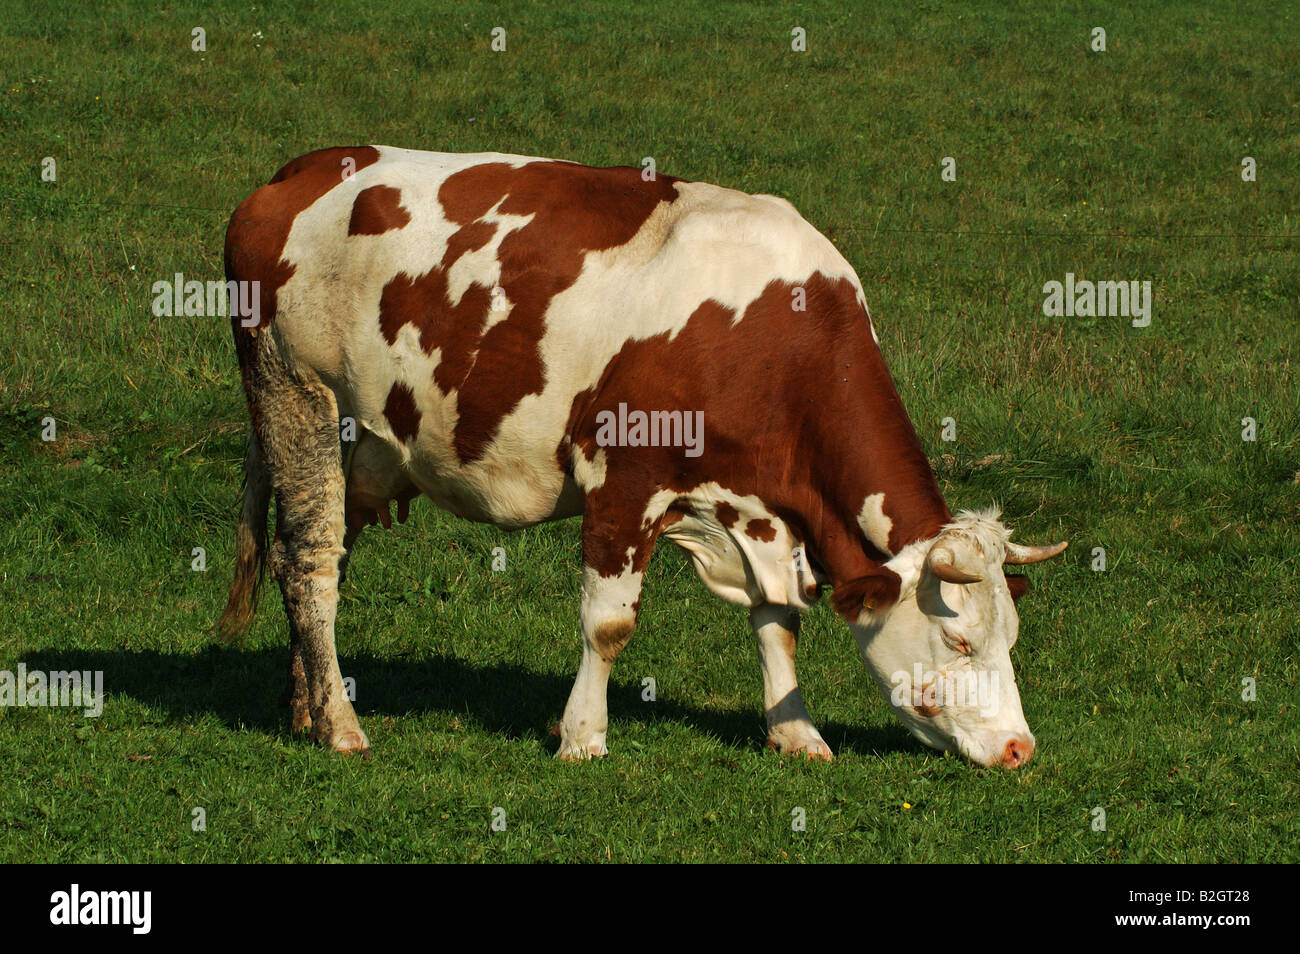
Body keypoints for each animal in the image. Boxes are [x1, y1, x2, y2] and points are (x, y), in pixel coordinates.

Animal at [215, 147, 1066, 769]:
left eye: (1013, 638)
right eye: (959, 641)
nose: (1020, 748)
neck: (771, 338)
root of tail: (297, 173)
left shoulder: (762, 509)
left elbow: (778, 620)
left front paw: (796, 733)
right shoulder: (624, 481)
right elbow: (609, 624)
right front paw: (582, 737)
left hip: (359, 447)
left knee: (304, 557)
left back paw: (305, 706)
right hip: (297, 400)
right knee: (312, 564)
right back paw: (340, 725)